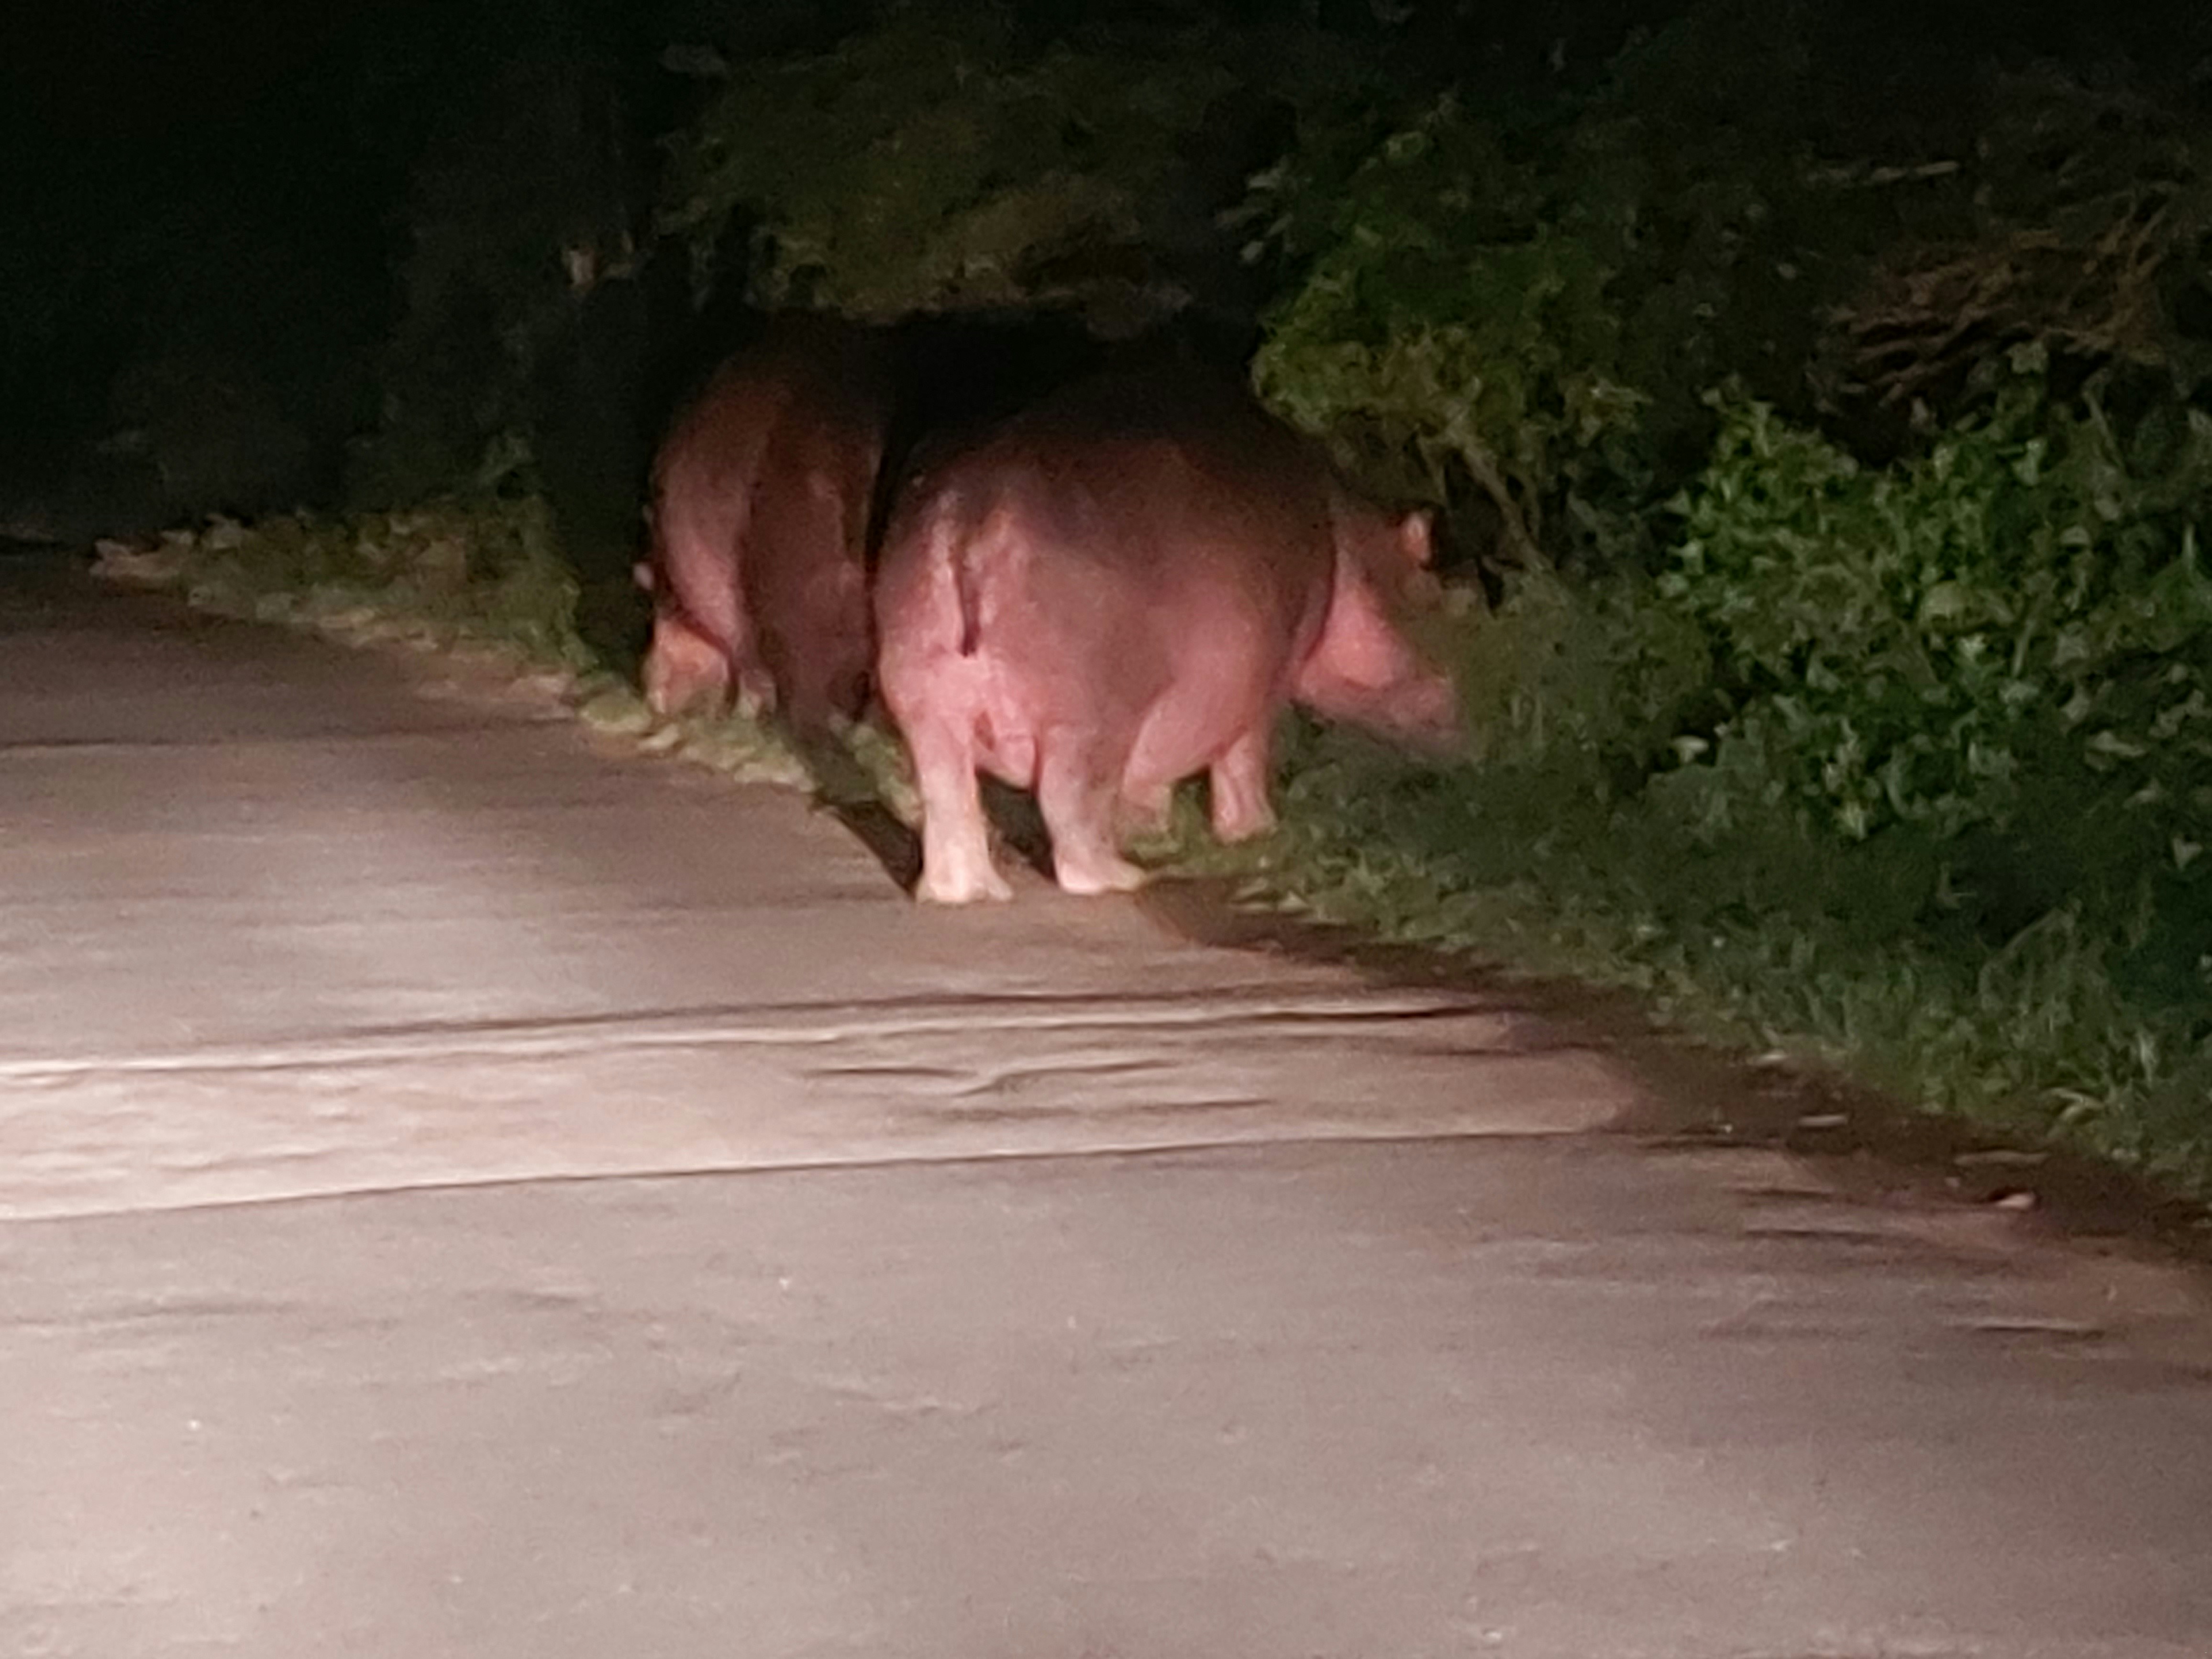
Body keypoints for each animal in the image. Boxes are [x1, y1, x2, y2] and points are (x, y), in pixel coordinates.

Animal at [873, 368, 1460, 903]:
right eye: (1436, 590)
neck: (1351, 546)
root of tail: (975, 515)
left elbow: (1151, 775)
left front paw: (1153, 829)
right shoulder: (1266, 677)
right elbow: (1243, 754)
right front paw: (1256, 832)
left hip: (925, 699)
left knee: (948, 795)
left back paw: (969, 892)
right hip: (1089, 717)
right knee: (1069, 805)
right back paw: (1125, 877)